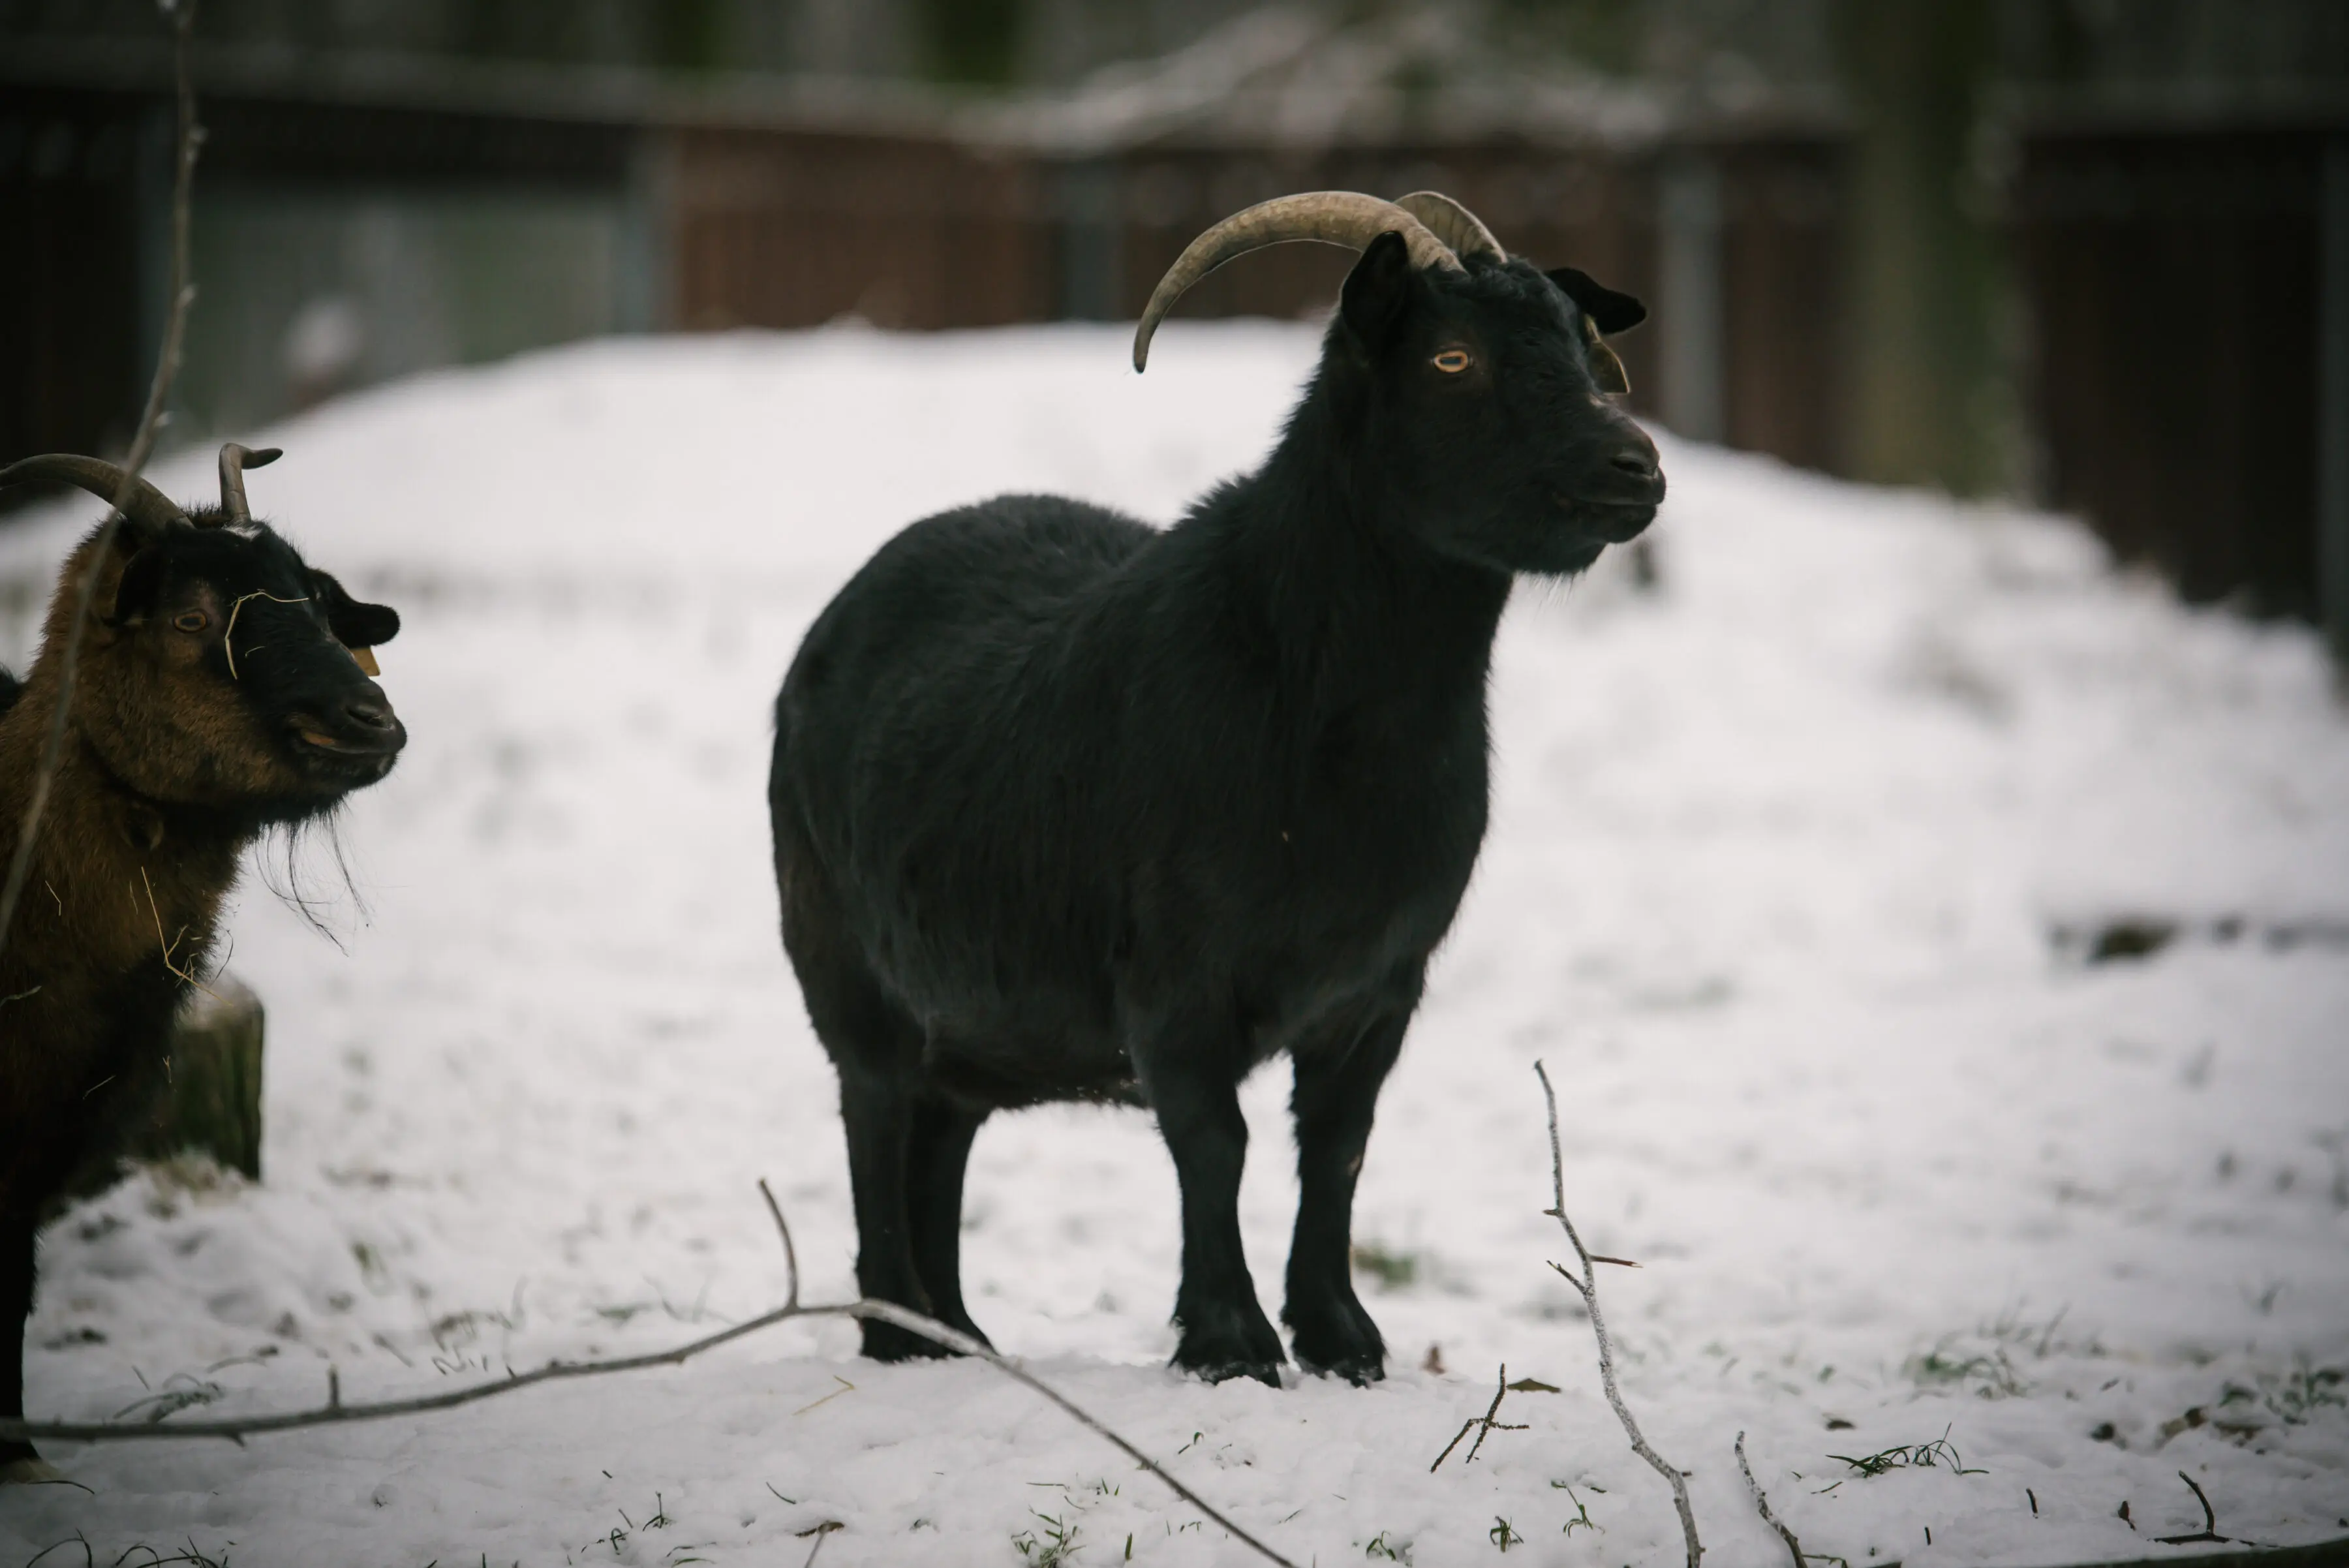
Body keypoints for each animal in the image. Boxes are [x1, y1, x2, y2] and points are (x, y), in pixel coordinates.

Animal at [769, 191, 1662, 1387]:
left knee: (939, 1138)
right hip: (841, 969)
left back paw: (962, 1337)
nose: (1635, 467)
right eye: (1451, 357)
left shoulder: (1379, 986)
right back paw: (900, 1336)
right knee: (874, 1122)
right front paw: (1231, 1343)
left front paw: (1342, 1339)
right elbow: (1216, 1143)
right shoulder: (1174, 980)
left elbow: (1337, 1147)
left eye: (1578, 341)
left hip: (962, 1015)